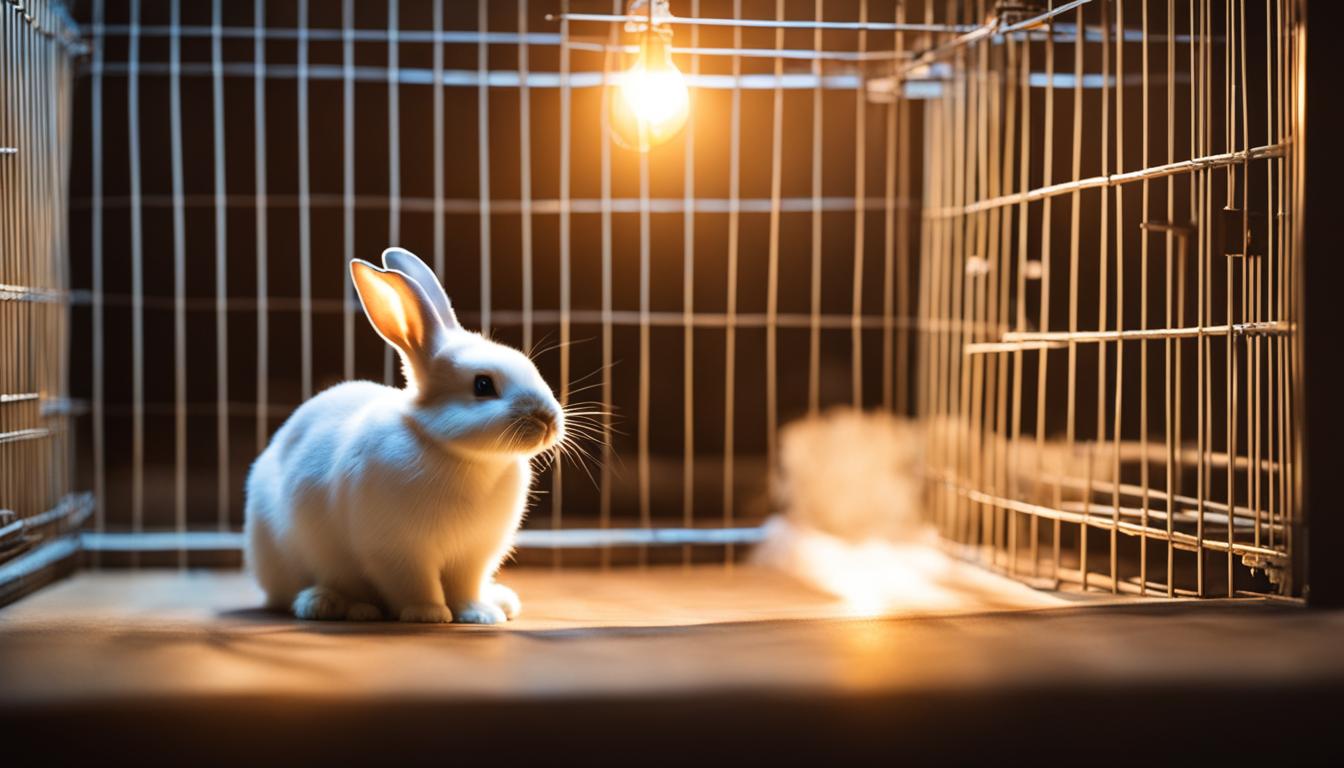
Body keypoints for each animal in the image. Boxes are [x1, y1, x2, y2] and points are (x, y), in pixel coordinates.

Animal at [244, 247, 564, 624]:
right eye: (483, 385)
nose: (548, 420)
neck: (460, 456)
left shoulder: (473, 555)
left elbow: (465, 587)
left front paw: (480, 614)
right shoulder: (398, 550)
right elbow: (414, 584)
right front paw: (429, 614)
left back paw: (501, 600)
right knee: (295, 592)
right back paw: (334, 605)